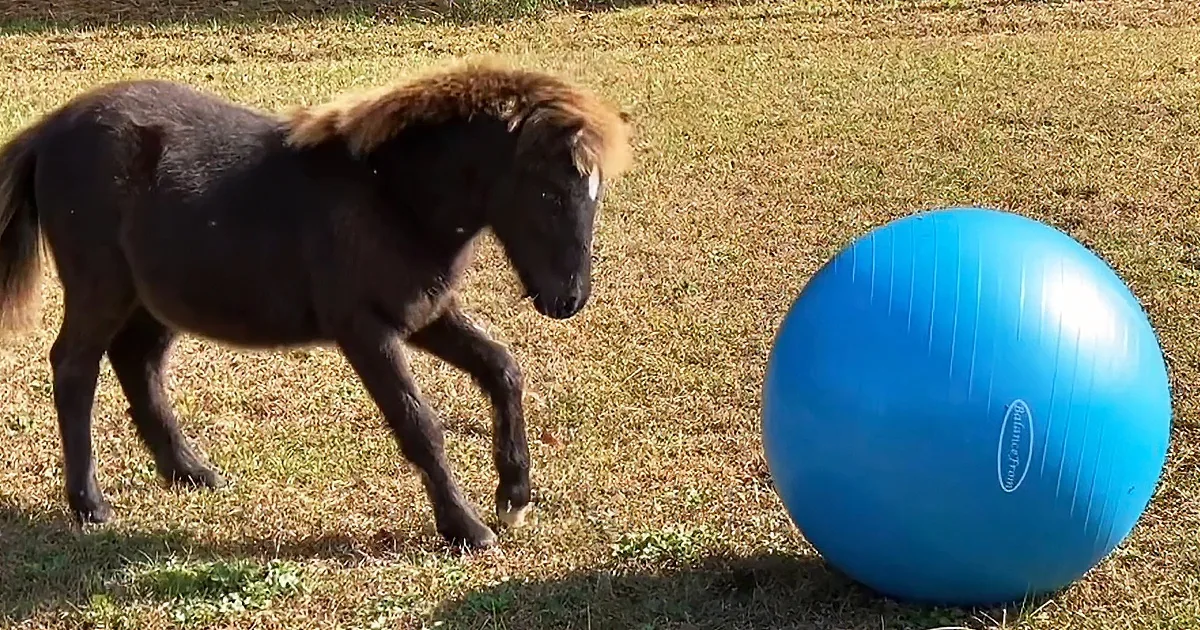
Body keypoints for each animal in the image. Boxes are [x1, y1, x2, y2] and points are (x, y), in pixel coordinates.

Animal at [0, 58, 634, 550]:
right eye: (549, 192)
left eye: (596, 192)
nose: (569, 299)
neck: (391, 195)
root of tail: (49, 130)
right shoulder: (364, 329)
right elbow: (420, 424)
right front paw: (467, 528)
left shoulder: (422, 313)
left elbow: (502, 369)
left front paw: (514, 497)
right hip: (100, 287)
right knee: (75, 368)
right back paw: (90, 505)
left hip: (155, 299)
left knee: (137, 363)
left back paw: (193, 472)